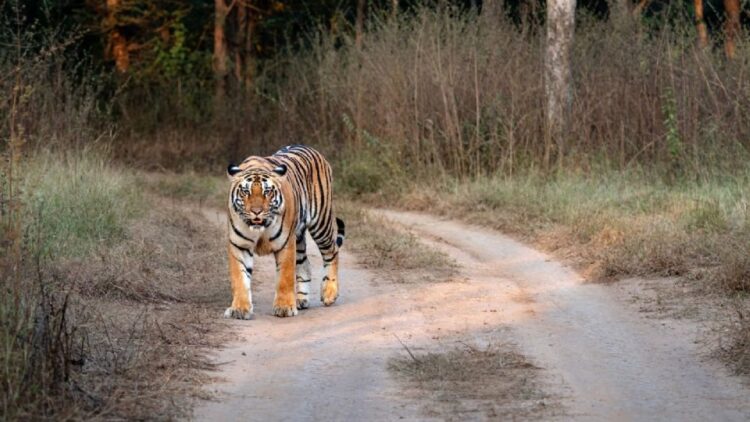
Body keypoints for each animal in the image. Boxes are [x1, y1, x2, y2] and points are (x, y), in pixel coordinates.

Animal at [224, 144, 345, 319]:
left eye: (267, 191)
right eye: (245, 192)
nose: (256, 212)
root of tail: (311, 148)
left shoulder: (285, 243)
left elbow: (285, 277)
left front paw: (284, 307)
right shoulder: (239, 245)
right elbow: (239, 278)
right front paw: (239, 309)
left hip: (320, 222)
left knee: (332, 252)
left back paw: (329, 293)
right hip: (299, 236)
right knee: (305, 264)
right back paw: (301, 300)